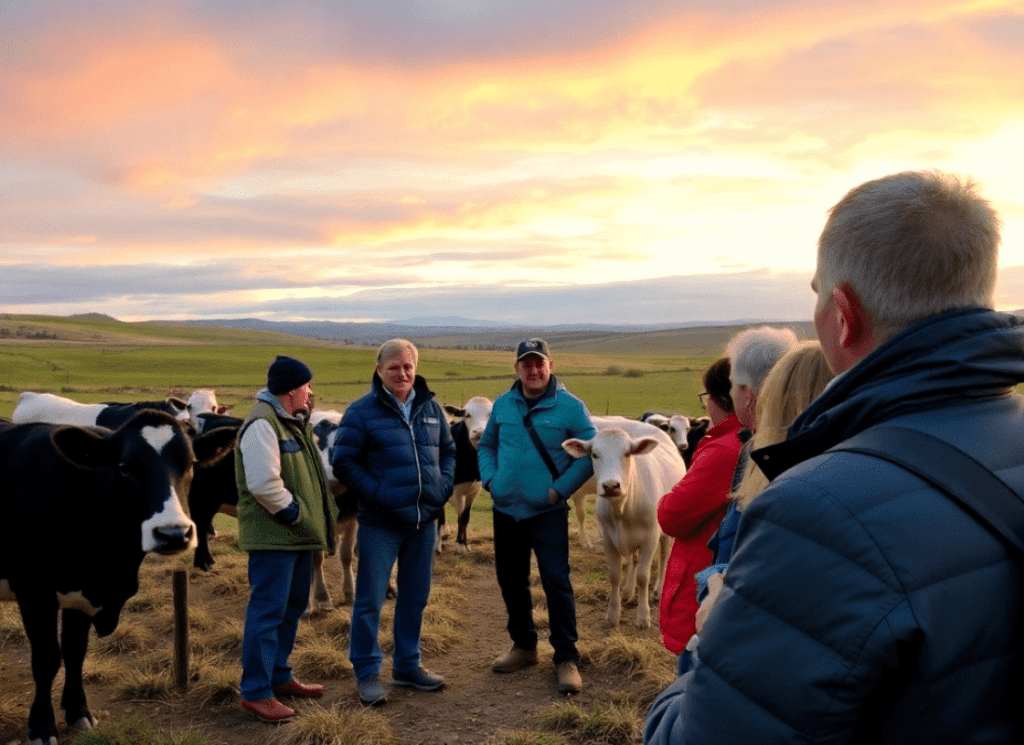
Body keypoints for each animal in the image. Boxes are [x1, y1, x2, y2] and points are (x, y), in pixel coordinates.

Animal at [0, 413, 228, 745]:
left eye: (191, 464)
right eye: (125, 467)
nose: (173, 533)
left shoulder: (81, 596)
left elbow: (75, 652)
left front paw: (78, 711)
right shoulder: (34, 593)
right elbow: (46, 659)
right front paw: (42, 726)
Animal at [561, 415, 688, 630]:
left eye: (627, 453)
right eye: (594, 454)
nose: (611, 486)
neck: (622, 508)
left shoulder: (650, 537)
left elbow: (643, 576)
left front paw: (643, 616)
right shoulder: (608, 537)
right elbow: (615, 575)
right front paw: (613, 613)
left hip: (665, 530)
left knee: (664, 557)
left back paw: (658, 590)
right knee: (633, 561)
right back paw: (628, 591)